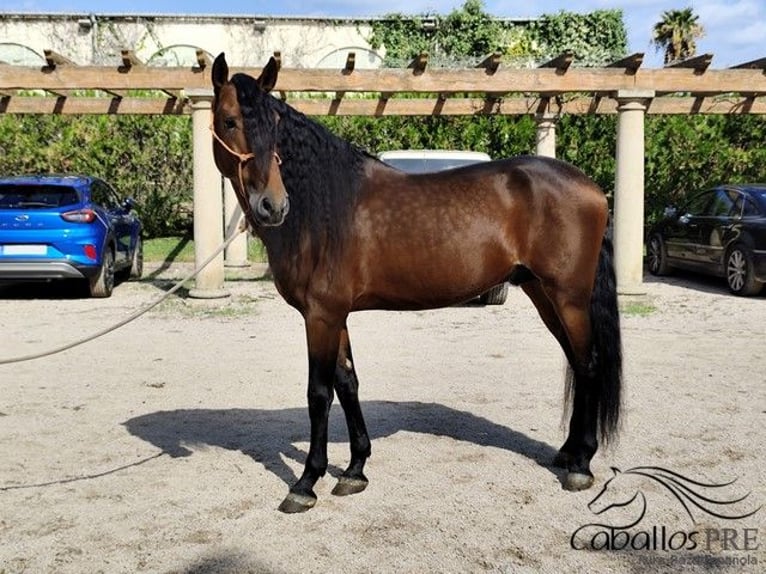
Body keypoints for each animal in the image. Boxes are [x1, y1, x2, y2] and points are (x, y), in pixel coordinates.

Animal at [210, 53, 623, 513]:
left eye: (276, 124)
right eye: (229, 121)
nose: (273, 205)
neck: (324, 207)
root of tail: (593, 189)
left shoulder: (320, 316)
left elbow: (319, 393)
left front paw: (306, 482)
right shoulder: (336, 315)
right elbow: (347, 383)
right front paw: (355, 470)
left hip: (569, 298)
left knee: (588, 365)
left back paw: (581, 465)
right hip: (543, 294)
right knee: (576, 362)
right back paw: (568, 453)